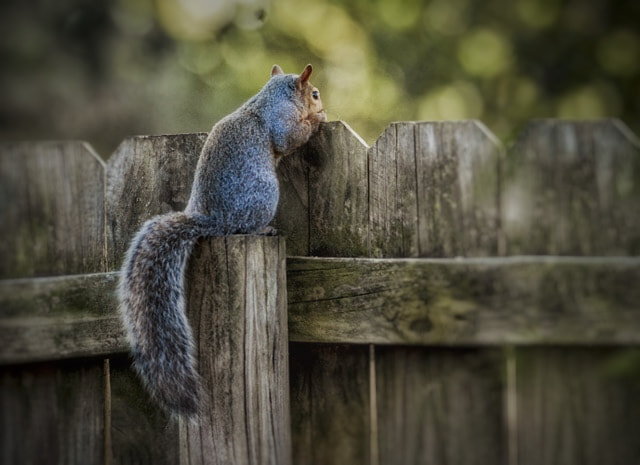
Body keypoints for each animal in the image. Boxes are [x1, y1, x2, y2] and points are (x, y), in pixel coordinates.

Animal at [118, 64, 325, 419]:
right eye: (314, 93)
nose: (321, 104)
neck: (268, 98)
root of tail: (212, 221)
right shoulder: (281, 119)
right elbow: (289, 137)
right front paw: (317, 119)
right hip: (263, 196)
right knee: (243, 229)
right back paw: (263, 229)